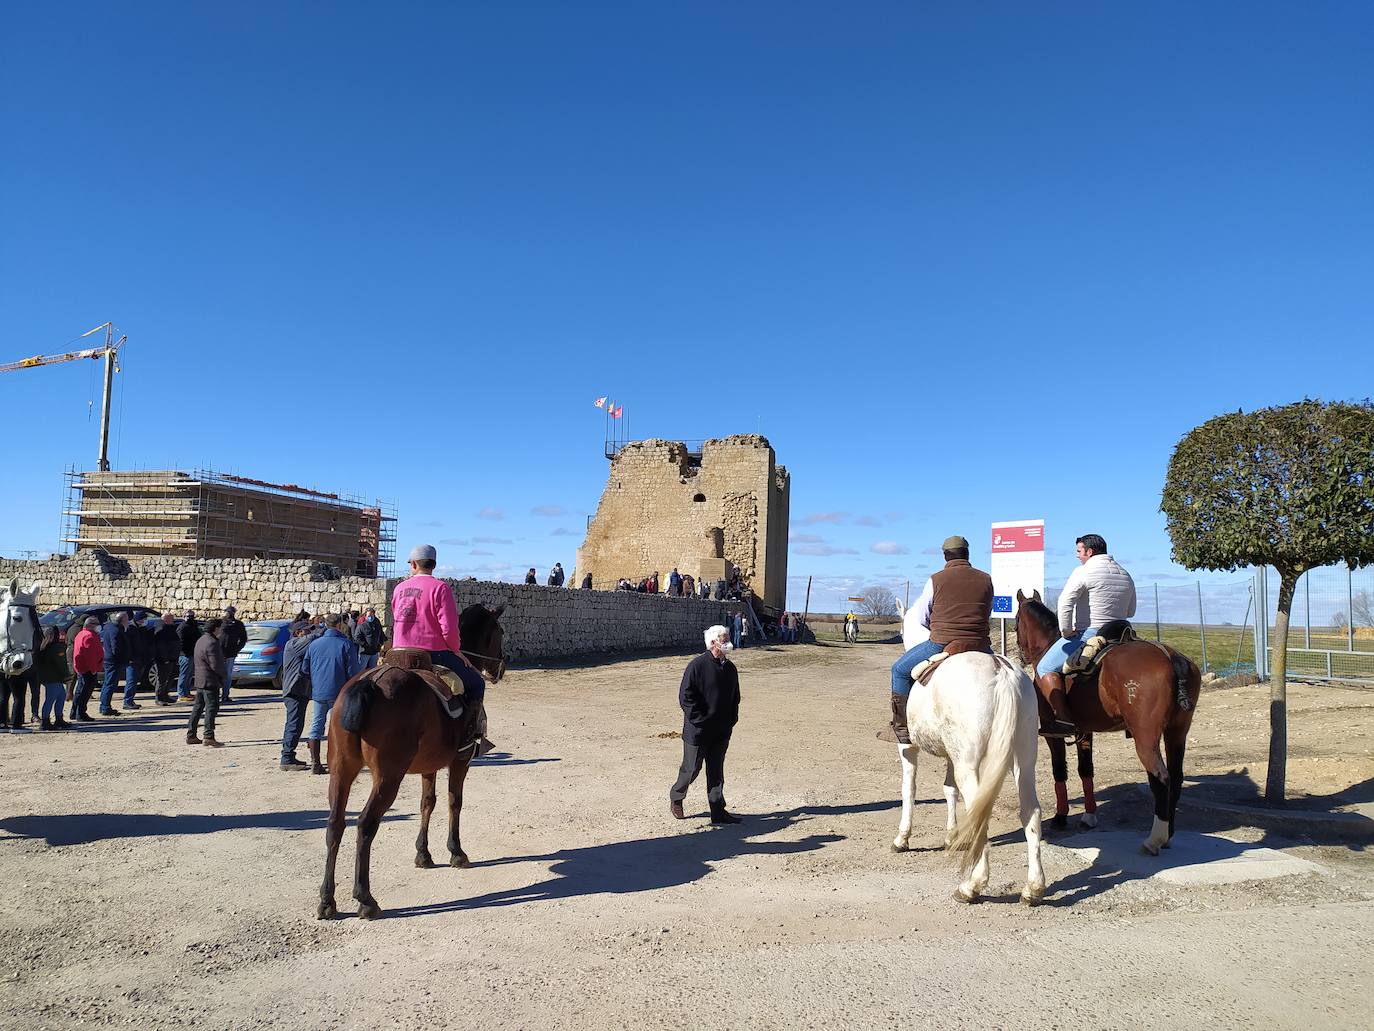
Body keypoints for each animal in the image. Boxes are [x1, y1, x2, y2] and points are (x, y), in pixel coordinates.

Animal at [318, 602, 508, 923]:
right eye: (500, 632)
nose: (501, 666)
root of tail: (371, 682)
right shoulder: (460, 762)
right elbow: (454, 802)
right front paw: (456, 852)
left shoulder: (428, 765)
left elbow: (427, 803)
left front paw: (423, 854)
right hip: (388, 777)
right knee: (365, 824)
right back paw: (365, 899)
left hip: (341, 771)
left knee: (335, 824)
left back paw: (327, 900)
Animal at [890, 602, 1038, 907]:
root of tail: (1001, 671)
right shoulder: (951, 756)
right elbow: (949, 790)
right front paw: (953, 837)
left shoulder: (907, 749)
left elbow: (908, 790)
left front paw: (902, 838)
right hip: (1024, 762)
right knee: (1031, 812)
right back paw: (1033, 889)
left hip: (969, 766)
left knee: (979, 810)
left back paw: (971, 886)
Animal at [1016, 588, 1198, 857]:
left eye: (1016, 621)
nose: (1022, 655)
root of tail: (1170, 657)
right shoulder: (1084, 732)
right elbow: (1086, 770)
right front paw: (1089, 816)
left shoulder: (1052, 733)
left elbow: (1059, 771)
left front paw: (1061, 816)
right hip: (1177, 734)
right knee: (1175, 778)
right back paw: (1169, 835)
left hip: (1146, 739)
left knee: (1161, 779)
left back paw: (1154, 839)